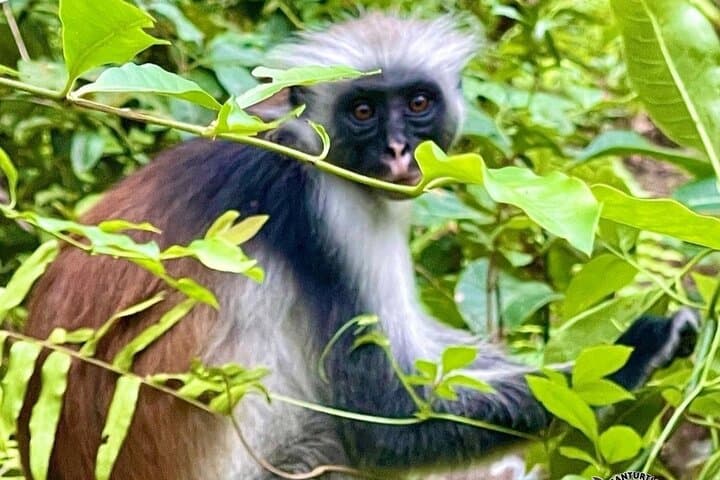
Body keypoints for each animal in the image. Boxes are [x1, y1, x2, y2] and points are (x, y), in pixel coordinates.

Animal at [17, 13, 698, 480]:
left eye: (418, 102)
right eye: (363, 111)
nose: (397, 151)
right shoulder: (329, 213)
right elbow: (381, 420)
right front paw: (635, 354)